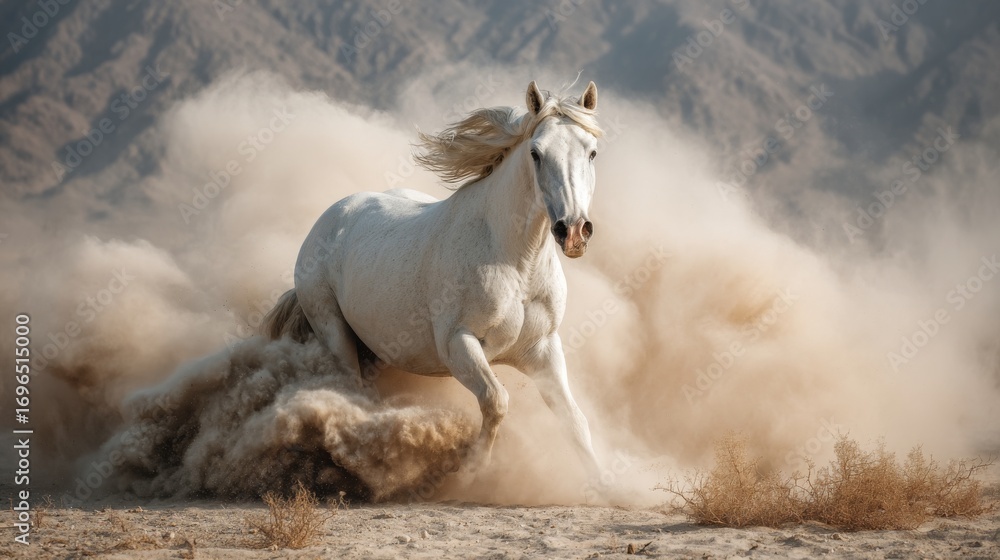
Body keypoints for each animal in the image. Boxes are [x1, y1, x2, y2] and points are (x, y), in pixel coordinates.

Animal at [262, 80, 604, 478]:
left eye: (592, 152)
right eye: (536, 153)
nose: (574, 231)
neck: (517, 262)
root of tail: (327, 221)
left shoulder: (543, 349)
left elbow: (575, 421)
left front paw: (607, 483)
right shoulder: (458, 343)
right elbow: (496, 401)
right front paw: (474, 473)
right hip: (334, 332)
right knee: (350, 392)